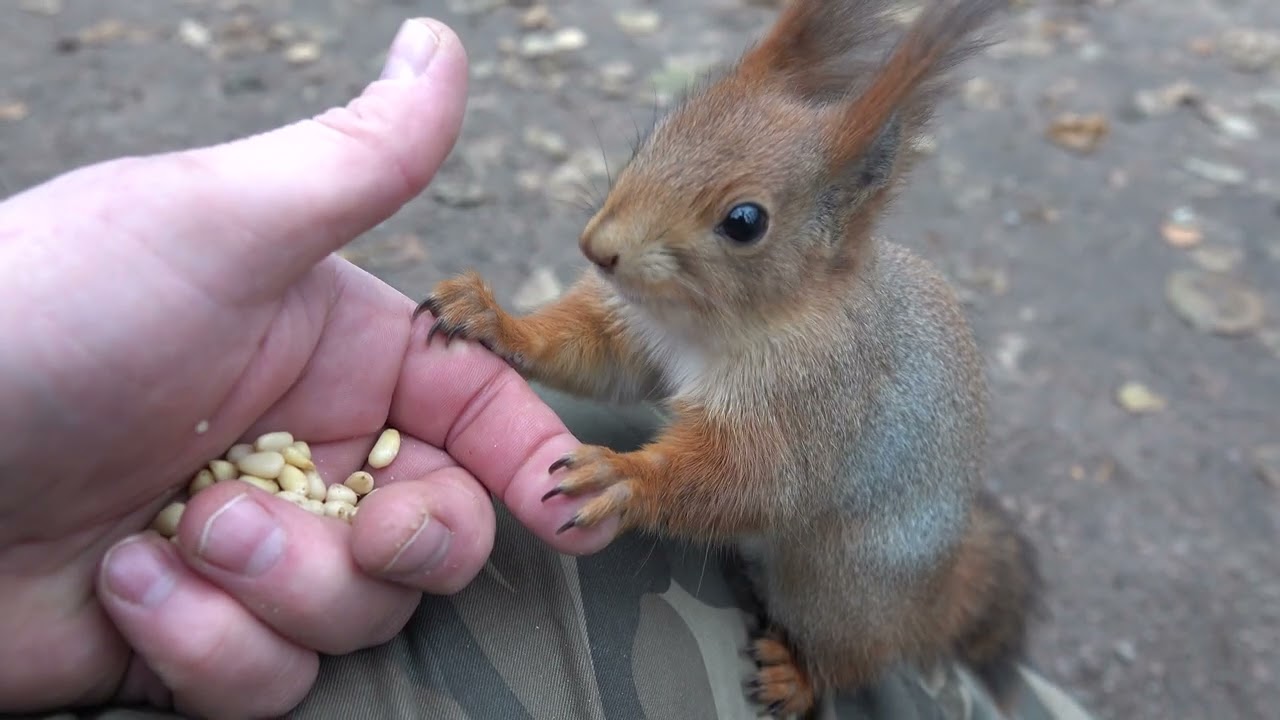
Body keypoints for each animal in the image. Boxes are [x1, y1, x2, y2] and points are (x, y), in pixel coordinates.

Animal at [413, 0, 1043, 716]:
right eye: (659, 131)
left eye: (745, 221)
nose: (597, 248)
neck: (713, 325)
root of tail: (936, 597)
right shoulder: (640, 335)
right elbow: (596, 357)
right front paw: (491, 318)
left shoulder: (815, 403)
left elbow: (751, 478)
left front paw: (625, 477)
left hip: (837, 588)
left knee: (858, 658)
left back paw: (797, 678)